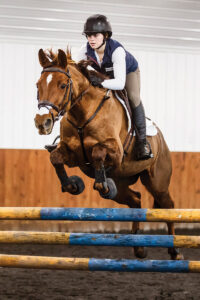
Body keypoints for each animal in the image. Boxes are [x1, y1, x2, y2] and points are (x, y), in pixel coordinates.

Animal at [34, 48, 183, 260]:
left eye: (62, 85)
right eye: (37, 85)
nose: (42, 122)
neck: (83, 114)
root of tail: (161, 139)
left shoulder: (115, 151)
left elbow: (97, 152)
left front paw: (101, 185)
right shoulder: (72, 155)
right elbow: (55, 158)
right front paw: (72, 185)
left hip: (157, 182)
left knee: (168, 206)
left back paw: (175, 251)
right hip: (121, 184)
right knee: (136, 200)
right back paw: (138, 247)